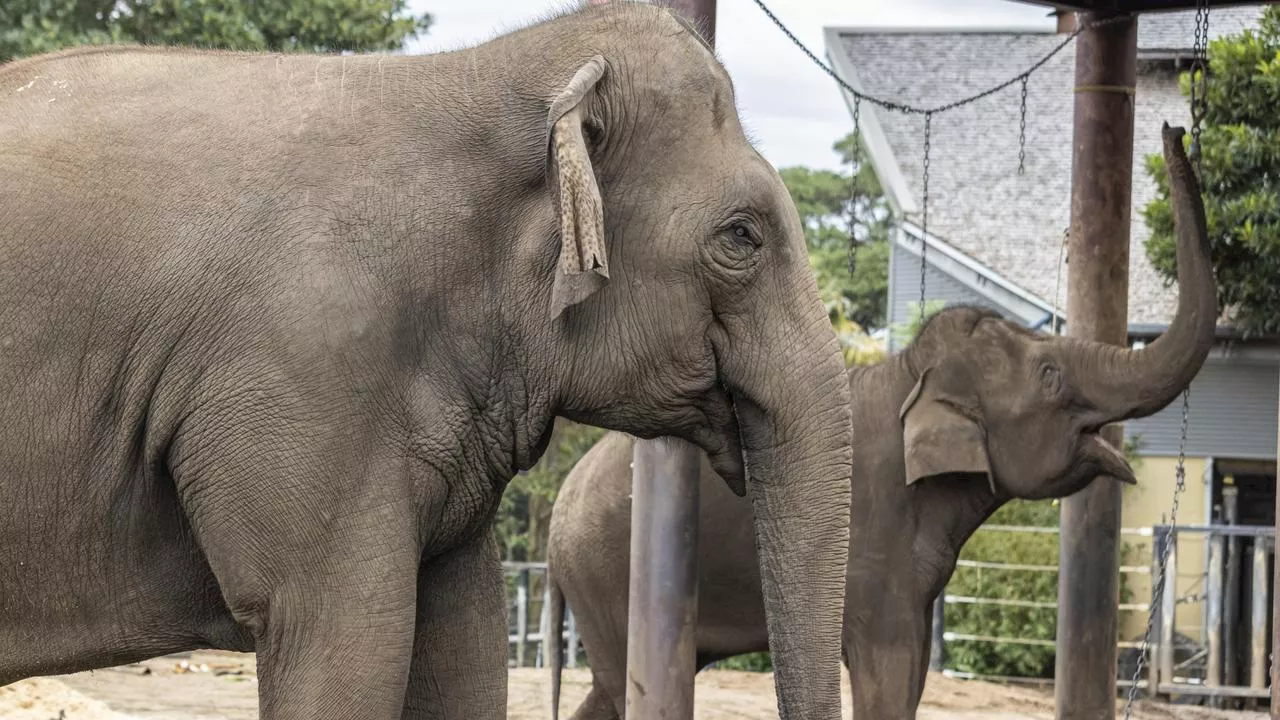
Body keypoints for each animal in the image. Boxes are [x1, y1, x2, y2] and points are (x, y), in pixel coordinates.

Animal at [545, 124, 1213, 717]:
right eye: (1049, 374)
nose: (1175, 130)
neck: (909, 374)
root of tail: (556, 512)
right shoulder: (876, 546)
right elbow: (886, 672)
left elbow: (911, 673)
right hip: (606, 575)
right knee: (618, 685)